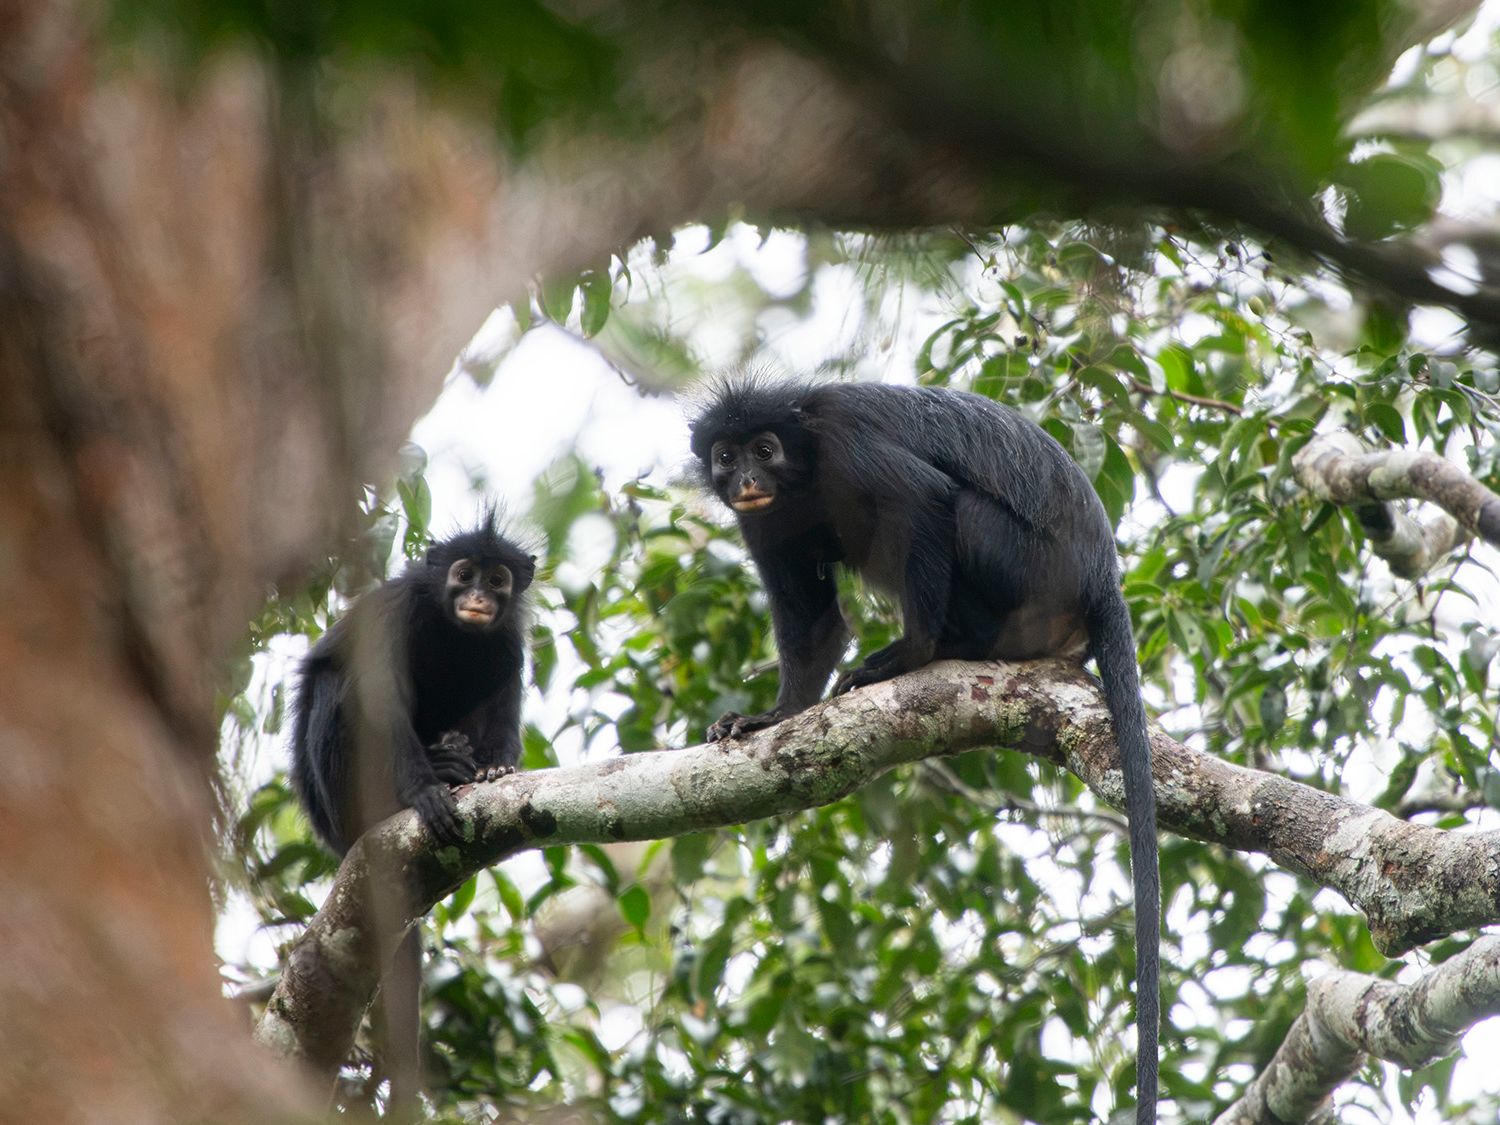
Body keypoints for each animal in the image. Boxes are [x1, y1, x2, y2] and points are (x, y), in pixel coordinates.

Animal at [287, 512, 534, 1112]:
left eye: (497, 580)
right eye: (463, 574)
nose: (477, 597)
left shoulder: (509, 636)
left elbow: (506, 682)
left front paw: (495, 769)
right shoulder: (393, 612)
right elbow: (380, 698)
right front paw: (424, 792)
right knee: (339, 682)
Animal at [689, 376, 1160, 1123]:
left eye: (764, 449)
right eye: (726, 456)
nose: (747, 480)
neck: (802, 468)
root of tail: (1099, 576)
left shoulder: (845, 444)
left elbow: (925, 499)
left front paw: (910, 653)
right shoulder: (762, 521)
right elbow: (813, 623)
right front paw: (770, 718)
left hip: (1023, 566)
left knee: (951, 507)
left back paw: (946, 646)